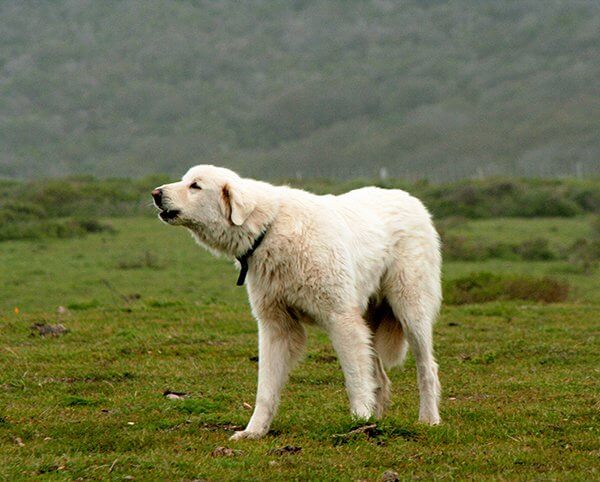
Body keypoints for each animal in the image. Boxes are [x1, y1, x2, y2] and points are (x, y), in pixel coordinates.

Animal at [151, 166, 440, 440]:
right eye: (185, 180)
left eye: (195, 185)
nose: (155, 193)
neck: (269, 229)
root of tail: (410, 198)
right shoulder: (275, 326)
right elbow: (265, 389)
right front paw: (254, 431)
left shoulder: (341, 319)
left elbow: (355, 379)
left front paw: (358, 418)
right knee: (380, 378)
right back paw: (376, 423)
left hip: (410, 311)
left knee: (426, 369)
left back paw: (428, 420)